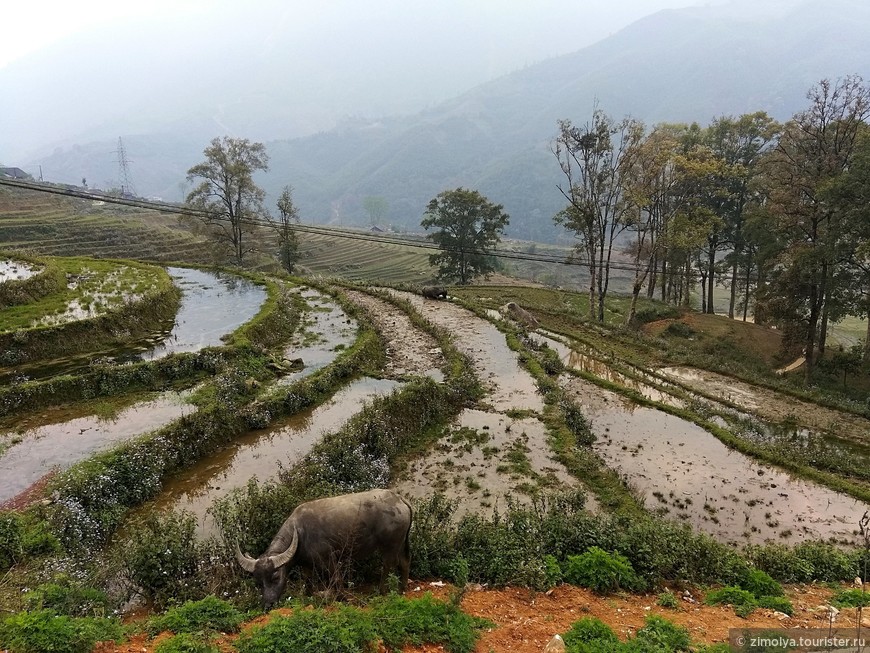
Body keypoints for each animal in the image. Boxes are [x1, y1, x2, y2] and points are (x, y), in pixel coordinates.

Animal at [237, 488, 414, 608]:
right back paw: (402, 588)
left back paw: (383, 591)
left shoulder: (329, 559)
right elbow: (308, 582)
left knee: (388, 566)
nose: (268, 604)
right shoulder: (307, 565)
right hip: (401, 543)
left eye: (275, 577)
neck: (300, 533)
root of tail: (400, 499)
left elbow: (336, 579)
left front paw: (342, 598)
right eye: (258, 582)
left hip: (390, 546)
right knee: (404, 562)